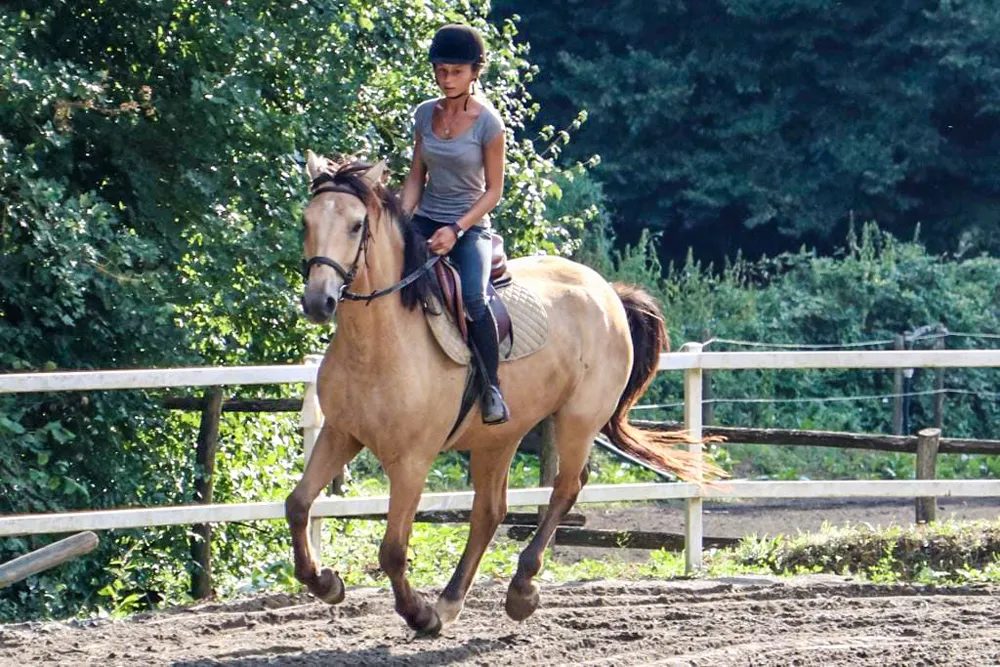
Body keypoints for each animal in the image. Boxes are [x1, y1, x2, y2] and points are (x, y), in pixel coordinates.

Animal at [287, 151, 714, 635]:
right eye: (306, 220)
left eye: (356, 225)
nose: (318, 302)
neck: (380, 341)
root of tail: (607, 291)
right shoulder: (341, 434)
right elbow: (297, 505)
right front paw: (325, 583)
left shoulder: (412, 461)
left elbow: (392, 551)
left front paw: (419, 614)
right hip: (500, 435)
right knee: (490, 510)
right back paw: (452, 599)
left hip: (577, 419)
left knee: (566, 487)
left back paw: (520, 590)